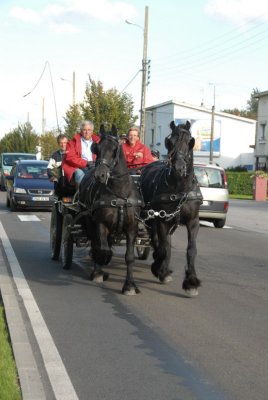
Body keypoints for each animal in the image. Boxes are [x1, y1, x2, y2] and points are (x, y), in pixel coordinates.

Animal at [78, 125, 143, 294]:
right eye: (97, 148)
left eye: (115, 148)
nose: (99, 175)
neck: (119, 194)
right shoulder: (101, 224)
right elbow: (102, 249)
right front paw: (100, 269)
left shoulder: (132, 227)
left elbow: (129, 257)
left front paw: (129, 285)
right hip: (89, 221)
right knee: (96, 244)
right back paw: (97, 271)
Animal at [139, 120, 202, 296]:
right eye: (170, 142)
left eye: (190, 142)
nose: (179, 168)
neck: (180, 188)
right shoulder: (162, 220)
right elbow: (164, 247)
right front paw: (161, 270)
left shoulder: (193, 221)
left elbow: (191, 249)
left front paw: (191, 282)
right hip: (150, 219)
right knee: (156, 240)